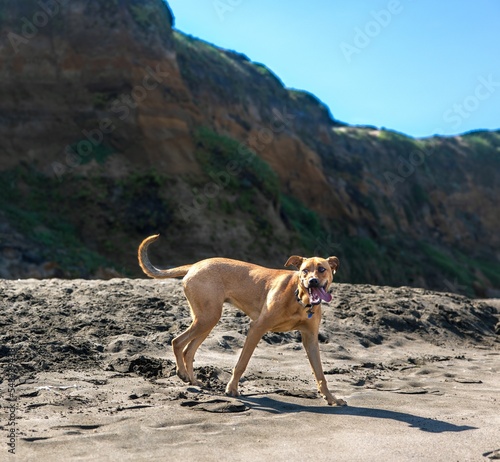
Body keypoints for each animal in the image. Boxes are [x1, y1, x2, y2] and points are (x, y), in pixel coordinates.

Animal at [138, 235, 348, 404]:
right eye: (304, 270)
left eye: (322, 269)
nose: (312, 281)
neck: (300, 300)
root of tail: (195, 265)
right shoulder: (257, 328)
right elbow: (241, 363)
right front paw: (232, 389)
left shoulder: (310, 339)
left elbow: (320, 374)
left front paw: (331, 399)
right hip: (207, 318)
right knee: (177, 342)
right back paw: (182, 374)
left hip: (207, 320)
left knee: (188, 350)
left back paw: (193, 379)